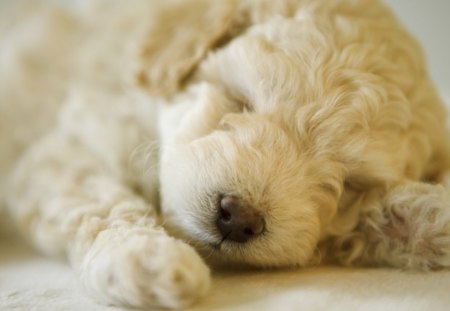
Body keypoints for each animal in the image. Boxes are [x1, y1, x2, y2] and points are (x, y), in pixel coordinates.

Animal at [0, 0, 450, 310]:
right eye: (240, 100)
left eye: (351, 182)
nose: (239, 217)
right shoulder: (66, 148)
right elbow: (100, 201)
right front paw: (144, 257)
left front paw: (427, 218)